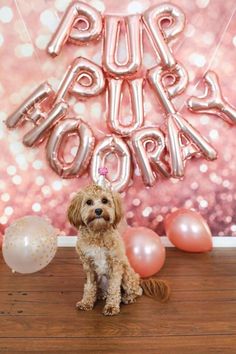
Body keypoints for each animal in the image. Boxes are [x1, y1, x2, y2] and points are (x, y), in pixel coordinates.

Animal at [68, 184, 170, 316]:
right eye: (89, 202)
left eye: (105, 200)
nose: (98, 210)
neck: (98, 231)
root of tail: (139, 279)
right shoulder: (88, 265)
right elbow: (90, 286)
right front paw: (86, 302)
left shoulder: (115, 264)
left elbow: (114, 287)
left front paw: (111, 307)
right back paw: (100, 295)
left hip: (127, 274)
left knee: (137, 290)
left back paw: (127, 297)